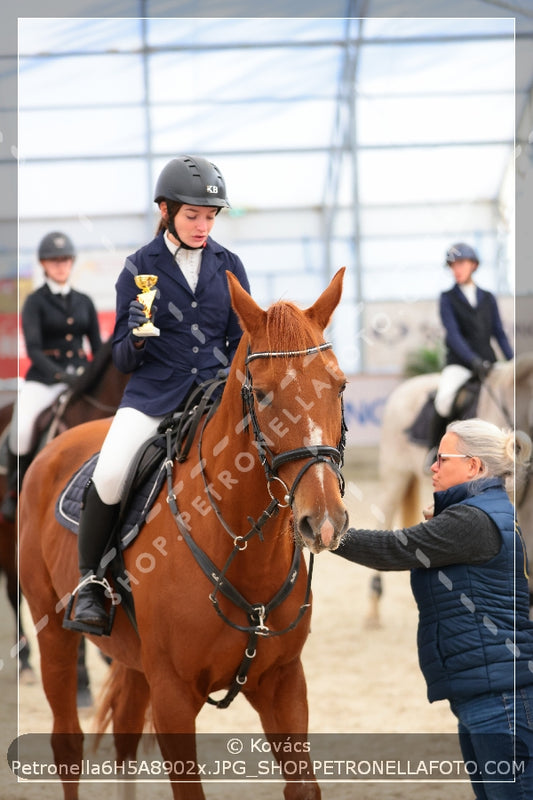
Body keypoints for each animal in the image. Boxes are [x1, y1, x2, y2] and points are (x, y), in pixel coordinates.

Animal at [18, 268, 350, 800]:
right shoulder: (174, 695)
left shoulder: (283, 684)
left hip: (136, 664)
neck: (242, 549)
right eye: (261, 393)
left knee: (125, 737)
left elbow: (303, 788)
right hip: (55, 636)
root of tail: (56, 446)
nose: (323, 521)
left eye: (338, 386)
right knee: (67, 744)